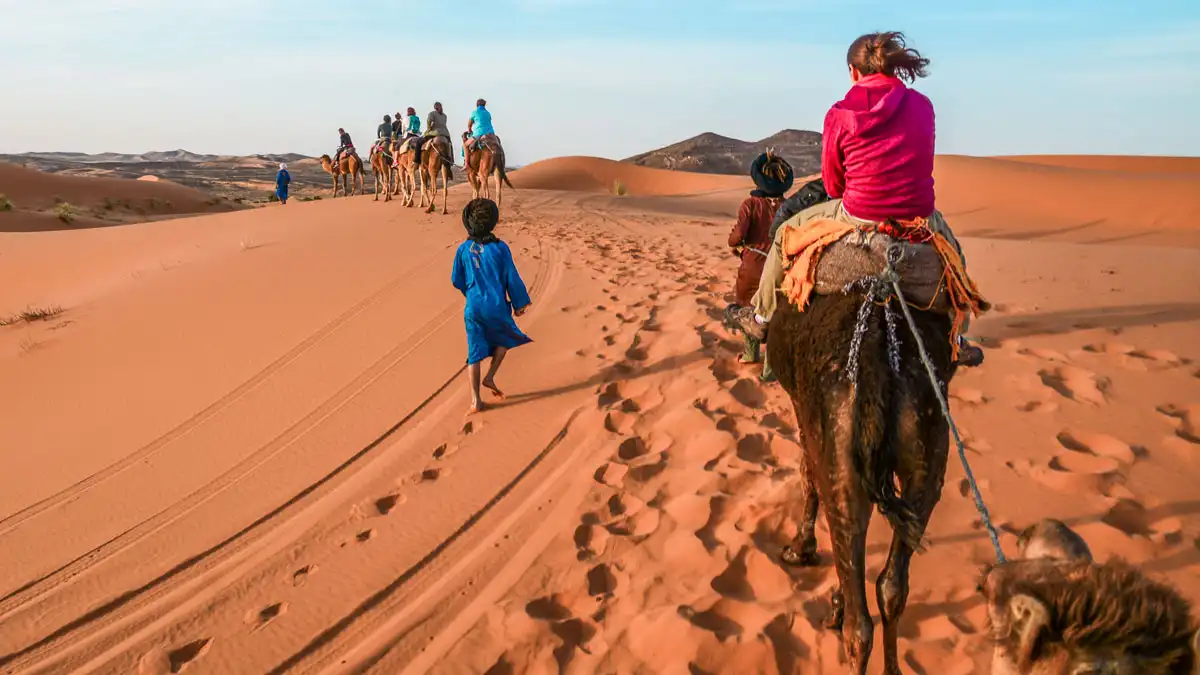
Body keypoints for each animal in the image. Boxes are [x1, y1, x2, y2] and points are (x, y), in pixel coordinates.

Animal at [768, 285, 955, 667]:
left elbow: (808, 477)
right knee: (892, 586)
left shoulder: (803, 410)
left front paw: (800, 550)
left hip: (842, 443)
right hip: (928, 447)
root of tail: (876, 362)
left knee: (860, 627)